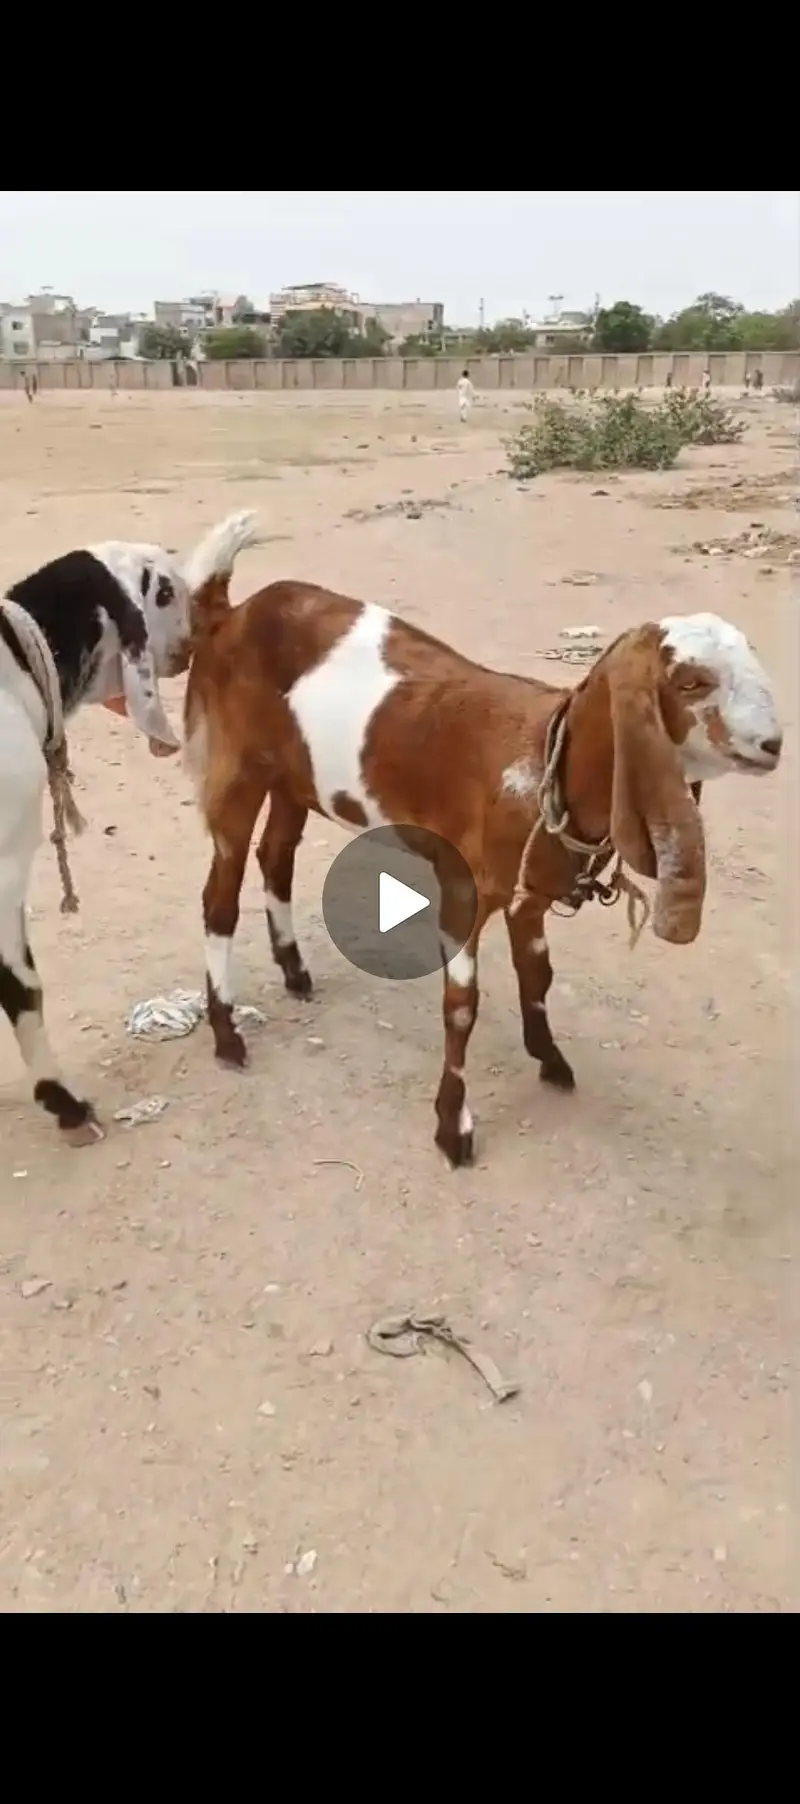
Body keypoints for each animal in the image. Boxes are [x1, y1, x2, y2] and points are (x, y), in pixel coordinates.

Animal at [184, 586, 781, 1166]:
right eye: (690, 681)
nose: (773, 744)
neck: (543, 767)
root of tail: (233, 611)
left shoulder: (530, 895)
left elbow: (537, 975)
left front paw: (550, 1060)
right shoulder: (461, 892)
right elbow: (462, 1008)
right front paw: (453, 1128)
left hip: (295, 780)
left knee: (276, 857)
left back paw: (293, 971)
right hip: (235, 767)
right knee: (220, 898)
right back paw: (226, 1034)